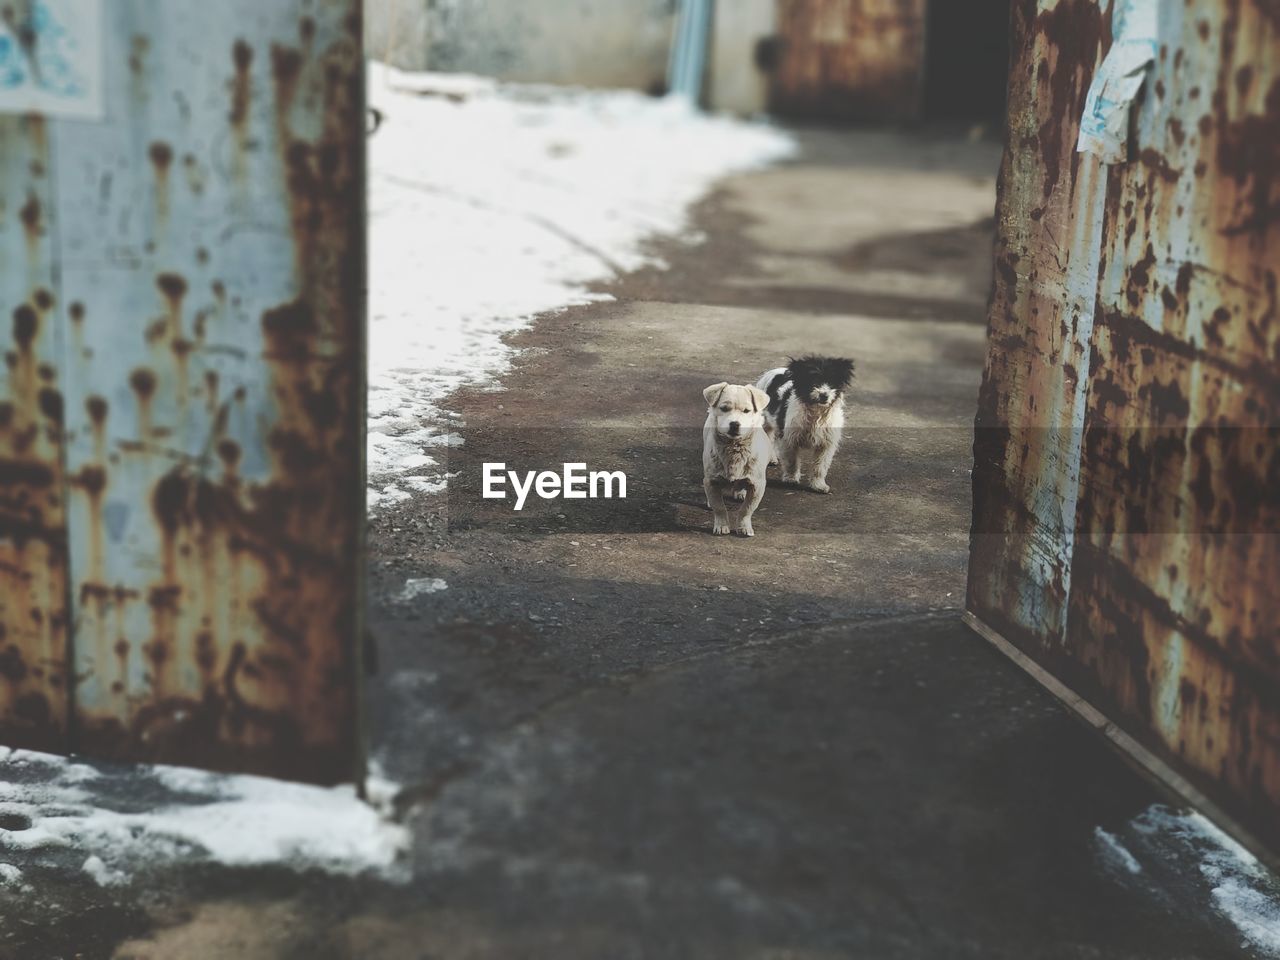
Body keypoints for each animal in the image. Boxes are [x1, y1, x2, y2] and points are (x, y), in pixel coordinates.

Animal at [701, 384, 768, 537]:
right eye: (724, 408)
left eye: (747, 411)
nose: (735, 424)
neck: (734, 448)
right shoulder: (711, 480)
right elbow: (719, 507)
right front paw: (721, 526)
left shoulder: (757, 485)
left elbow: (747, 509)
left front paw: (744, 527)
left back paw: (740, 492)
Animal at [752, 358, 855, 496]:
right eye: (813, 380)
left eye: (831, 382)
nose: (824, 395)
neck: (816, 413)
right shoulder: (789, 439)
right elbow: (792, 462)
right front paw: (791, 479)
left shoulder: (826, 444)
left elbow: (820, 467)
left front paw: (818, 485)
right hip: (763, 422)